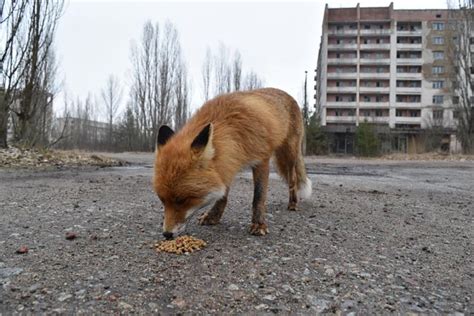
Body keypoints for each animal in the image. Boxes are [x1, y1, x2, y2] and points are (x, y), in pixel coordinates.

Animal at [154, 87, 312, 238]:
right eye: (162, 200)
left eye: (182, 200)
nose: (167, 234)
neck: (234, 130)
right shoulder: (228, 162)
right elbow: (223, 196)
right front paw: (213, 216)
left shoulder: (261, 159)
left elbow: (258, 197)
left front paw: (259, 224)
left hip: (291, 154)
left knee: (293, 179)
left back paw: (293, 203)